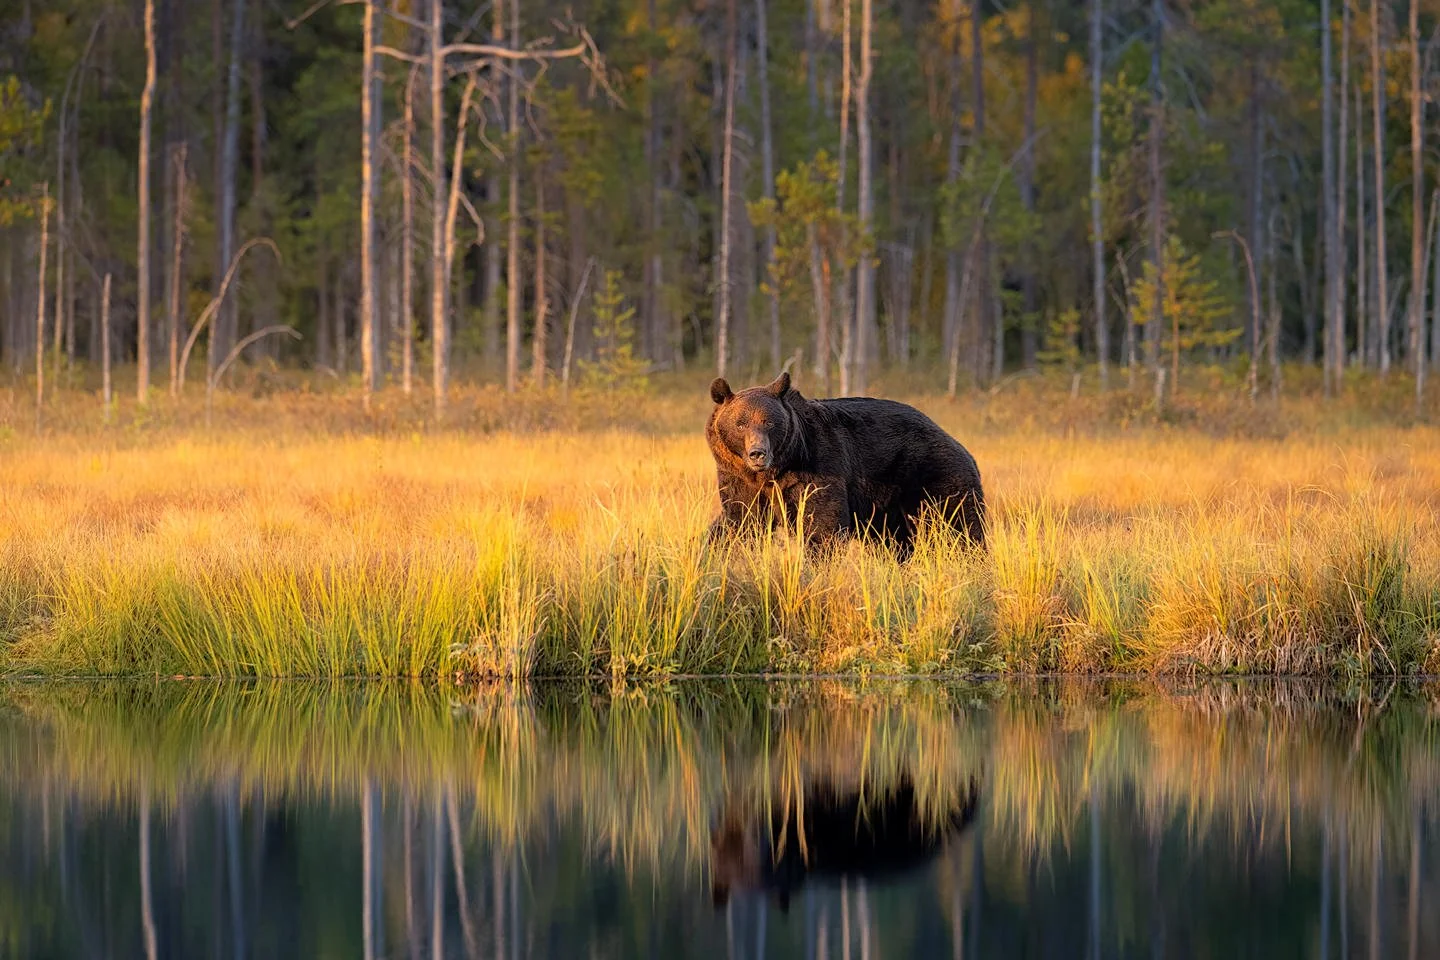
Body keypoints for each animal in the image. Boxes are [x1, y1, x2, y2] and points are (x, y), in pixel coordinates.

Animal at [706, 371, 986, 556]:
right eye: (740, 424)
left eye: (769, 422)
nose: (758, 453)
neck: (774, 472)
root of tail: (961, 446)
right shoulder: (740, 479)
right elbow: (741, 521)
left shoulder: (817, 467)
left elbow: (822, 525)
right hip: (889, 505)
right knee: (893, 542)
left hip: (934, 475)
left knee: (960, 524)